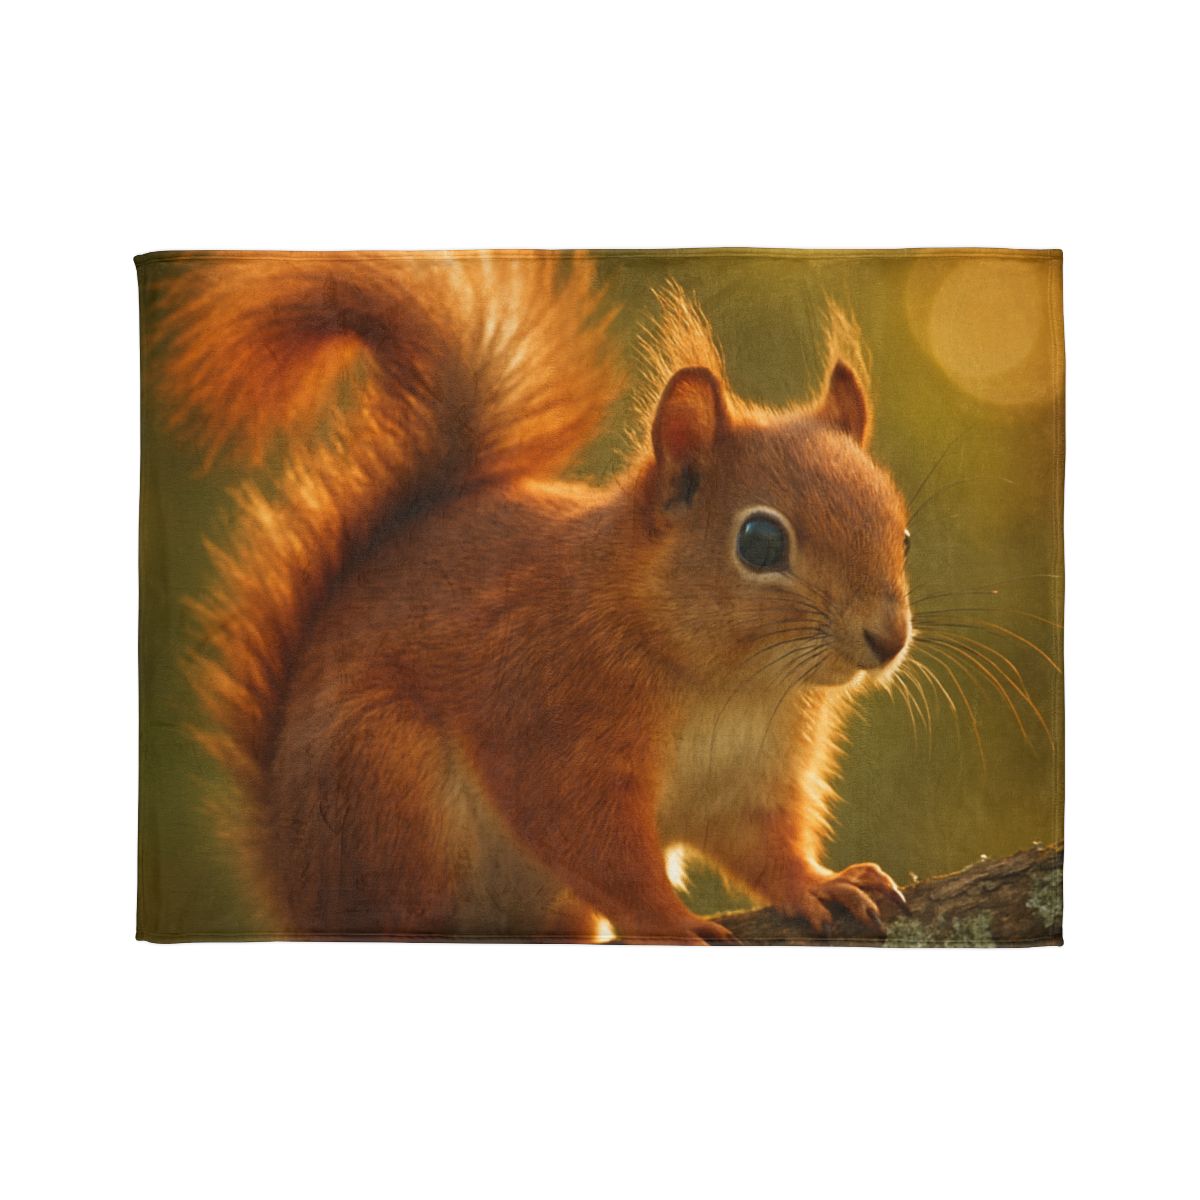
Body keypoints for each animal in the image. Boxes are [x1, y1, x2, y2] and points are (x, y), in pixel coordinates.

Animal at [142, 250, 914, 943]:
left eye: (902, 533)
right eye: (759, 542)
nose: (888, 638)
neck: (730, 683)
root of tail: (297, 889)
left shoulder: (752, 781)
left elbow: (763, 846)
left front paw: (819, 884)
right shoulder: (551, 724)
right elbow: (597, 847)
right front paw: (667, 922)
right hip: (385, 780)